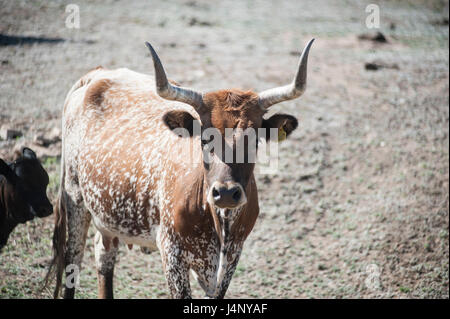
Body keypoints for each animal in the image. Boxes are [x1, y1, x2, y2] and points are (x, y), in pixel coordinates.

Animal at [45, 38, 312, 298]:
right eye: (205, 139)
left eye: (255, 140)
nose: (226, 193)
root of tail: (97, 74)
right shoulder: (171, 252)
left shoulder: (231, 257)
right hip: (75, 198)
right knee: (73, 259)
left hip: (107, 214)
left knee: (104, 255)